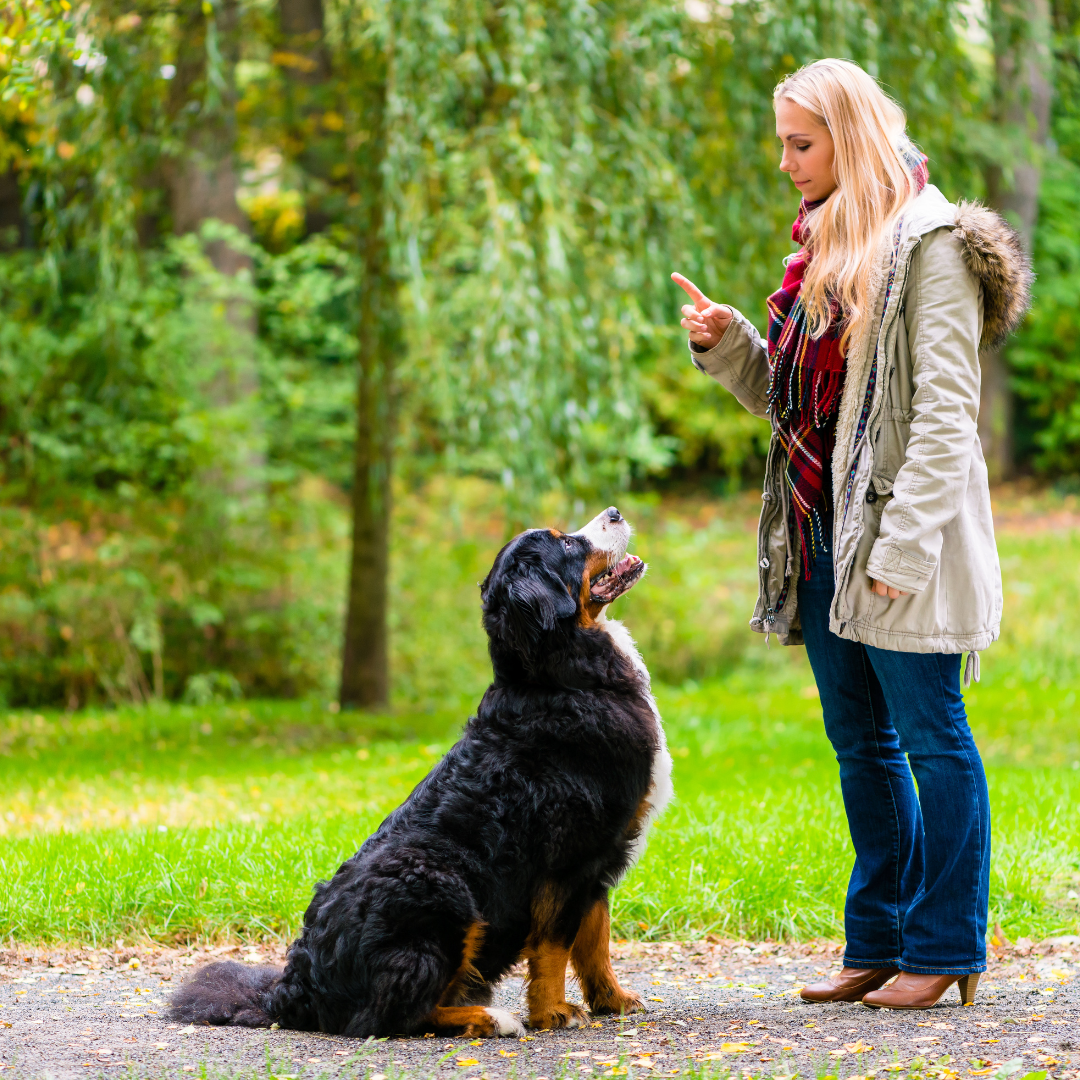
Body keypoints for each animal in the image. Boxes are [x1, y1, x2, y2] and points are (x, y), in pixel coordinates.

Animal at [169, 509, 669, 1041]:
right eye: (568, 545)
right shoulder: (570, 857)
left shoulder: (599, 858)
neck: (561, 677)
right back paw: (490, 1017)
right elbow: (555, 945)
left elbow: (594, 941)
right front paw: (553, 1012)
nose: (614, 512)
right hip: (442, 885)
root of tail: (293, 989)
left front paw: (612, 1000)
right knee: (392, 1015)